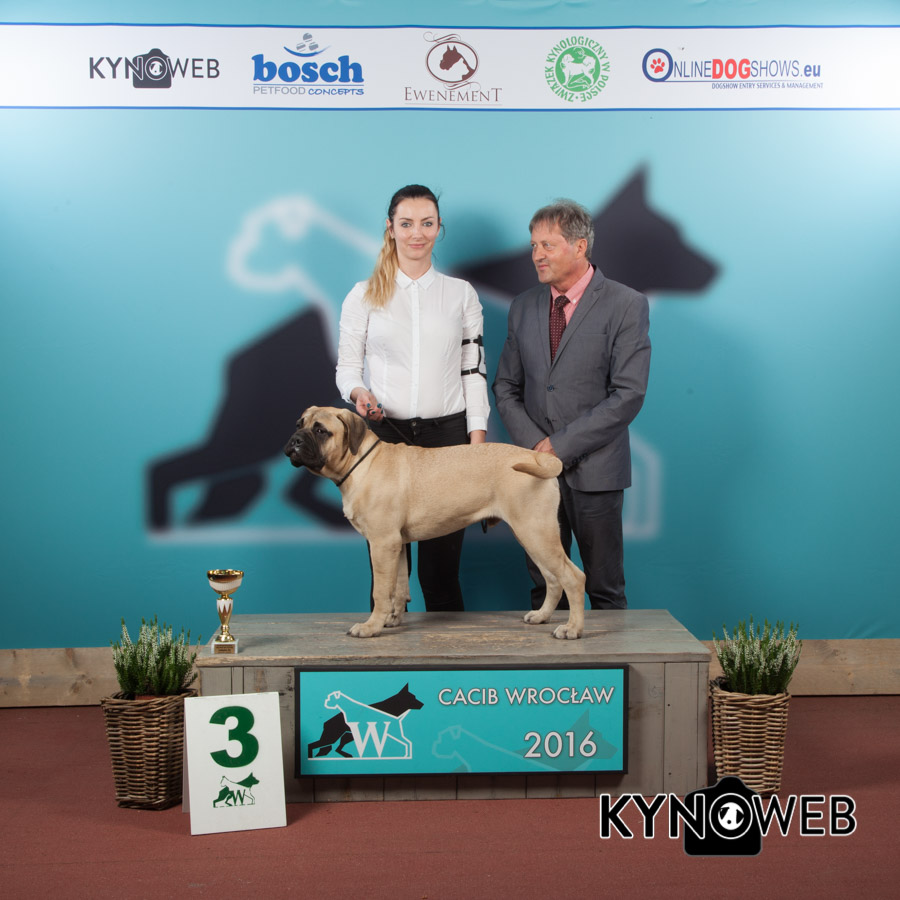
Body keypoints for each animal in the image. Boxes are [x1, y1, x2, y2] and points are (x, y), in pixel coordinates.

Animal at [283, 406, 586, 639]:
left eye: (321, 431)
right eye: (299, 424)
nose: (295, 440)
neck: (361, 463)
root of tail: (538, 456)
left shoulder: (382, 543)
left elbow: (381, 591)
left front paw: (371, 627)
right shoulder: (396, 545)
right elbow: (398, 587)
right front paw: (393, 619)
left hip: (535, 532)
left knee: (573, 577)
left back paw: (572, 629)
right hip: (534, 537)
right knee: (553, 579)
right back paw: (542, 616)